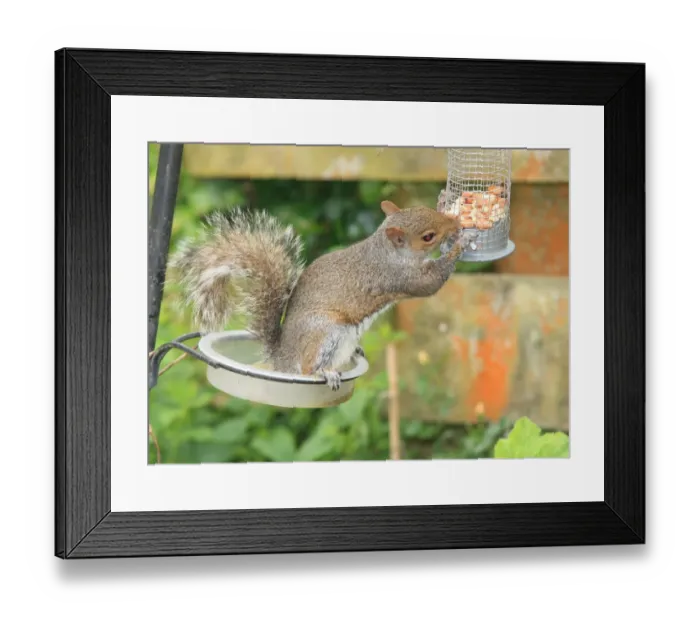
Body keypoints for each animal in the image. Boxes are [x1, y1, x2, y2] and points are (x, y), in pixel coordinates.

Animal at [170, 199, 467, 391]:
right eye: (428, 236)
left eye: (426, 208)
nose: (455, 224)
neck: (387, 250)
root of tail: (282, 358)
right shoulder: (398, 276)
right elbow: (429, 284)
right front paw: (458, 248)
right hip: (326, 329)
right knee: (308, 369)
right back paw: (326, 374)